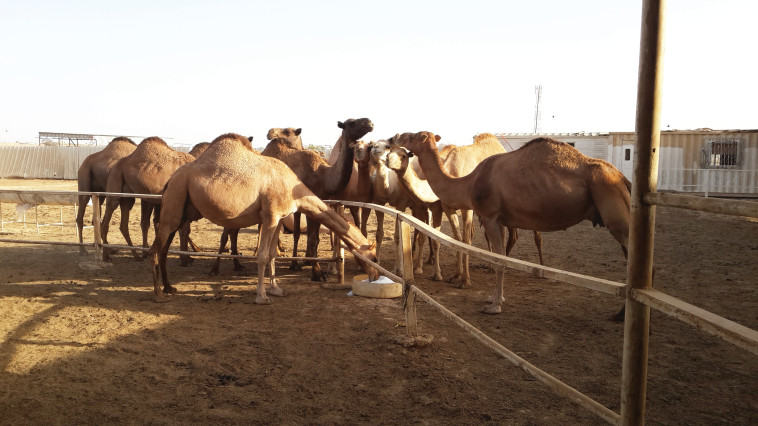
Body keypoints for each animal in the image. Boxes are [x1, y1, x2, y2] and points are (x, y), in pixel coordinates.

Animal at [262, 118, 376, 282]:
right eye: (351, 122)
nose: (369, 122)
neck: (323, 175)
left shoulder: (321, 202)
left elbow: (314, 237)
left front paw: (312, 266)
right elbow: (312, 239)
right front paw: (317, 273)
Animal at [394, 131, 632, 314]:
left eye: (413, 135)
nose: (396, 136)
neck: (468, 183)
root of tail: (622, 177)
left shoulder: (490, 216)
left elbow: (498, 260)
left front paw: (494, 305)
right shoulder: (498, 219)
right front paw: (493, 297)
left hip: (612, 203)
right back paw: (621, 314)